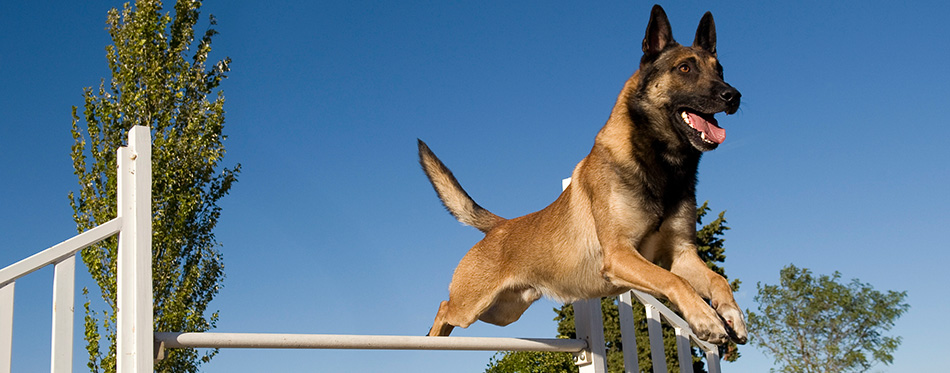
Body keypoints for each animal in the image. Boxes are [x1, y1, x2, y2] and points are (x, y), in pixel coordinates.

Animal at [418, 5, 752, 342]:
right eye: (684, 68)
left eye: (720, 71)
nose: (733, 95)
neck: (661, 163)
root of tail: (501, 225)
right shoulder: (620, 254)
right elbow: (675, 281)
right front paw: (706, 318)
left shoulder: (682, 256)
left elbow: (718, 280)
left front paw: (731, 315)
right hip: (471, 306)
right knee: (444, 307)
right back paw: (430, 341)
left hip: (502, 312)